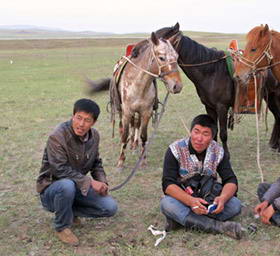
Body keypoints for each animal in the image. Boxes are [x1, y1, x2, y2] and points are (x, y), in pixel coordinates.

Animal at [88, 31, 183, 168]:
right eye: (161, 57)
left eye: (176, 56)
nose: (177, 86)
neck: (138, 84)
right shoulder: (127, 112)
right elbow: (125, 134)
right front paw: (121, 160)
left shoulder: (146, 112)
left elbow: (143, 135)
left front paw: (143, 159)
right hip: (122, 110)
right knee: (124, 127)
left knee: (136, 125)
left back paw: (134, 143)